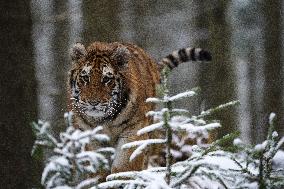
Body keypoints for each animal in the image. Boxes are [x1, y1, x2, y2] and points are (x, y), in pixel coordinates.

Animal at [67, 41, 211, 176]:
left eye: (107, 79)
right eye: (85, 77)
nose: (93, 102)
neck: (105, 120)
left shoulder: (133, 131)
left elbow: (124, 167)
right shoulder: (91, 137)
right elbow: (97, 170)